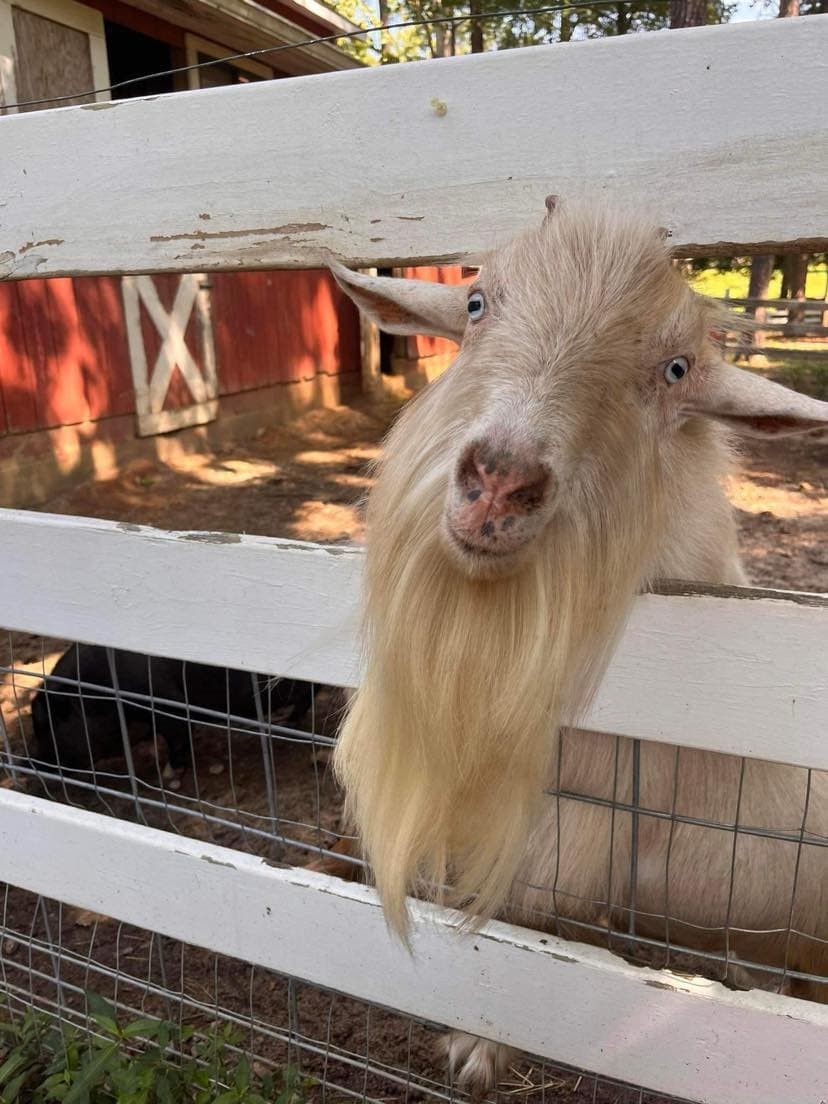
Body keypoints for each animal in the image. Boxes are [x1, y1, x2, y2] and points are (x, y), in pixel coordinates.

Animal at [330, 200, 828, 1094]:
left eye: (674, 370)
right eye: (477, 304)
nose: (499, 481)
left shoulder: (569, 835)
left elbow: (520, 927)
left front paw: (479, 1047)